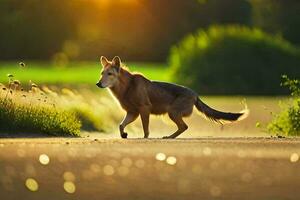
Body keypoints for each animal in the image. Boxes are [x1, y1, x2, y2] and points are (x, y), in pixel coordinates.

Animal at [96, 55, 248, 138]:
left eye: (110, 74)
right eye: (102, 73)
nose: (98, 84)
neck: (127, 87)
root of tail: (195, 94)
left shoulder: (144, 109)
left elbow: (146, 130)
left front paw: (144, 138)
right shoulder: (132, 112)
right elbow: (121, 125)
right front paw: (124, 135)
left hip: (172, 112)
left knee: (184, 127)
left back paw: (169, 137)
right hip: (172, 113)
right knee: (183, 127)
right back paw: (170, 137)